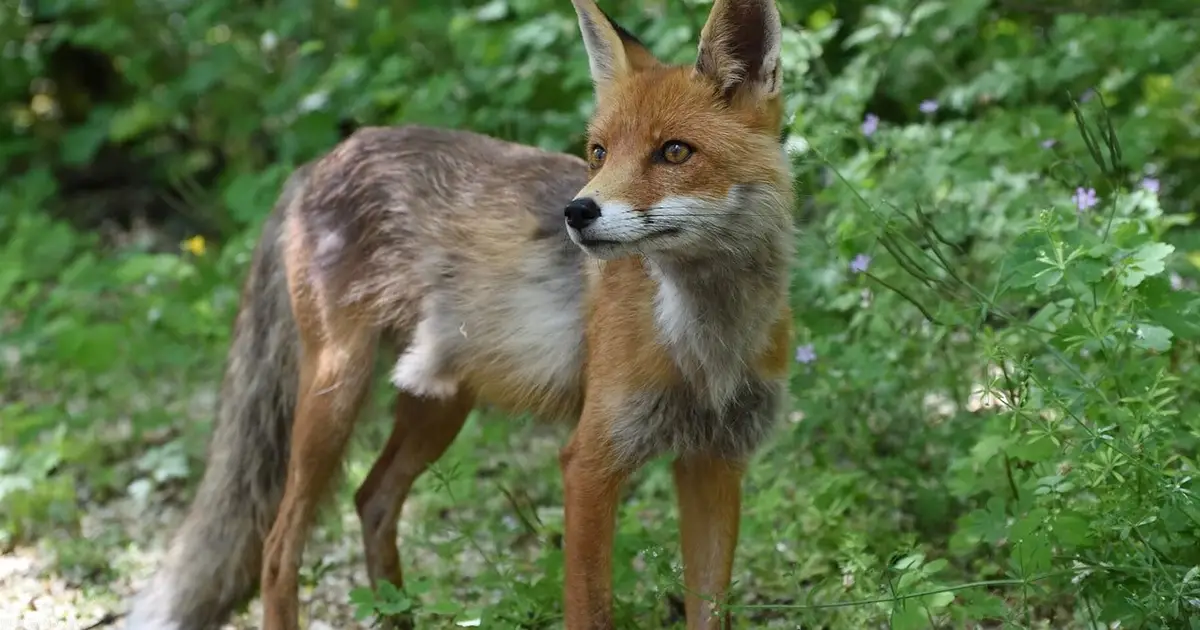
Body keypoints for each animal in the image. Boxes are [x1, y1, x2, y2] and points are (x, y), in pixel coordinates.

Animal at [123, 0, 793, 628]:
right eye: (599, 153)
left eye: (675, 152)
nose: (576, 212)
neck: (706, 346)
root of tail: (319, 161)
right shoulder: (590, 461)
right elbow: (589, 608)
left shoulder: (716, 461)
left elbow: (711, 607)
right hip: (334, 393)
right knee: (277, 547)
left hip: (437, 402)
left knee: (371, 499)